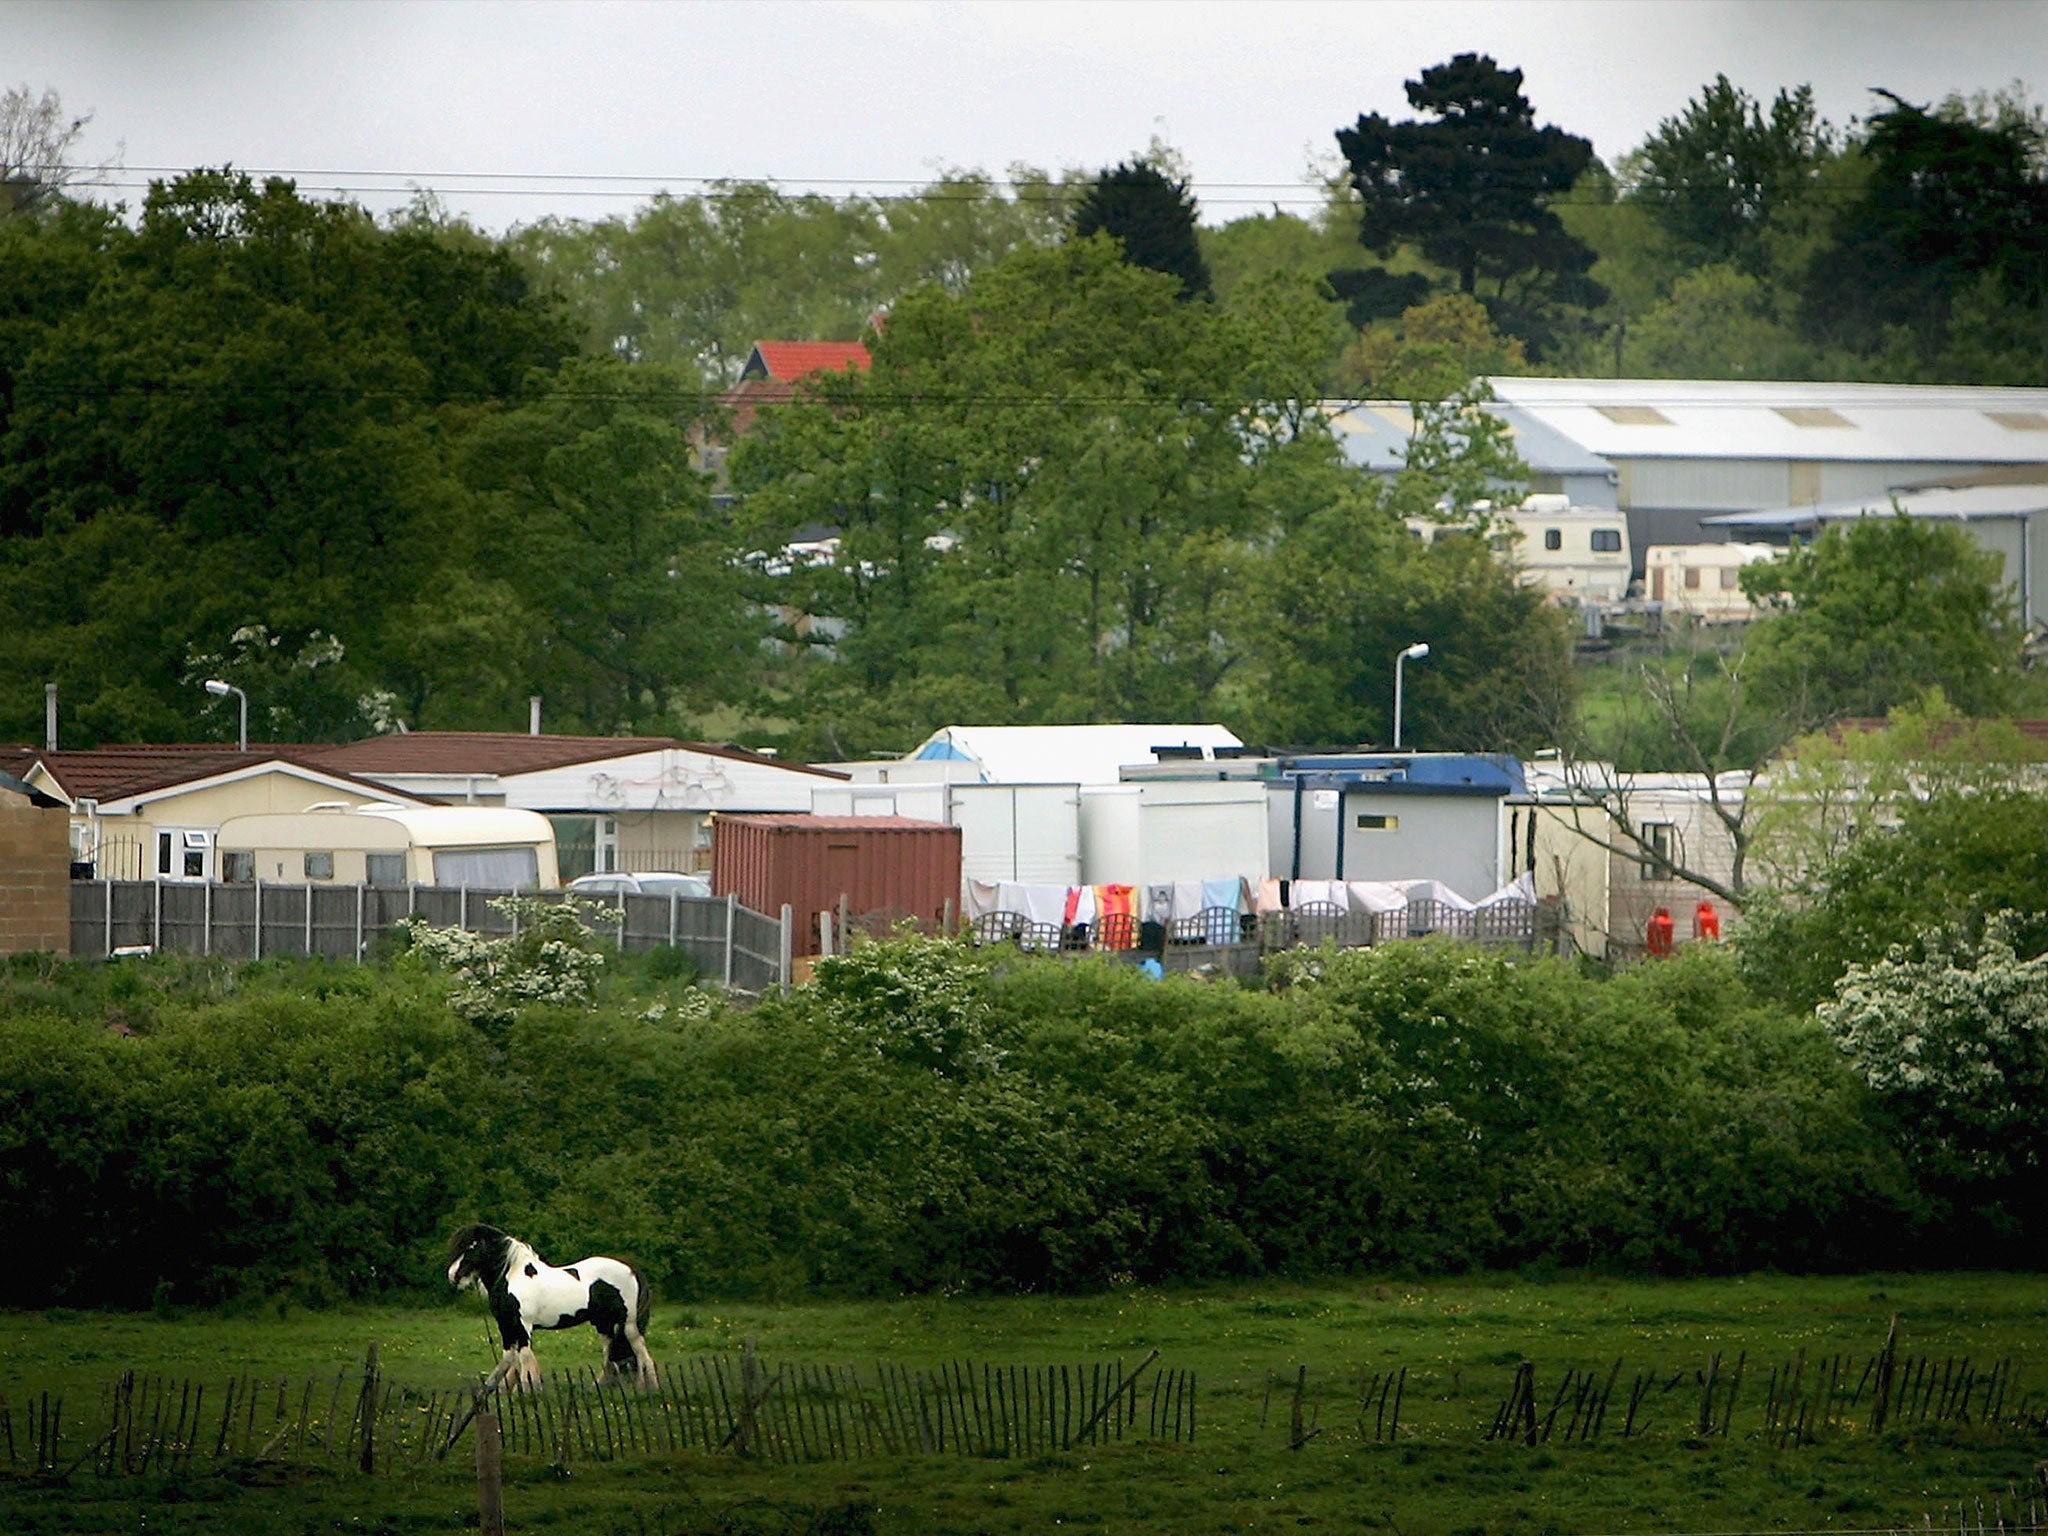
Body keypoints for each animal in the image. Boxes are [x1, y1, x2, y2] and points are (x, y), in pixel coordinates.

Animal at [448, 1228, 655, 1392]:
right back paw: (599, 1385)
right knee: (609, 1352)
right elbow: (509, 1359)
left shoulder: (523, 1325)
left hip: (629, 1324)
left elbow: (525, 1358)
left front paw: (529, 1391)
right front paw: (503, 1389)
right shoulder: (506, 1325)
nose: (453, 1275)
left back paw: (646, 1388)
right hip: (603, 1323)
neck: (513, 1277)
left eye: (472, 1247)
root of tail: (630, 1268)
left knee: (640, 1353)